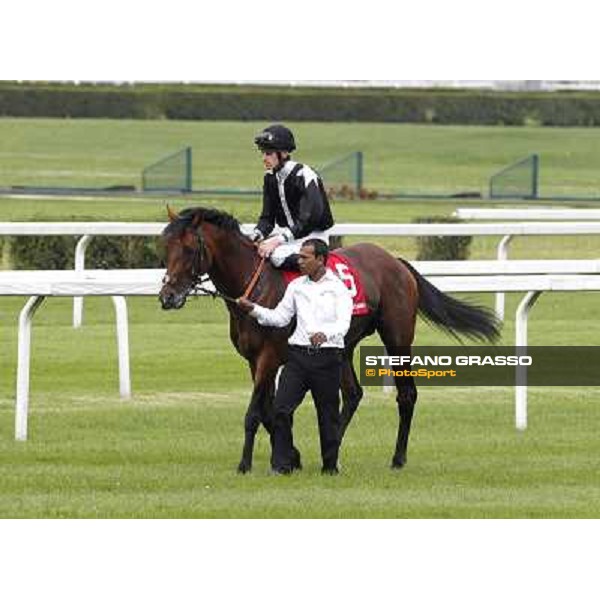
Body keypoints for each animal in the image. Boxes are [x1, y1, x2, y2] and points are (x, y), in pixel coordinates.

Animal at [157, 206, 500, 474]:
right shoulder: (253, 359)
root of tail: (397, 261)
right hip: (343, 346)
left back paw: (397, 458)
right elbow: (269, 410)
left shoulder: (269, 356)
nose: (167, 297)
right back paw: (331, 450)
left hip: (398, 338)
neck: (255, 286)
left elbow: (255, 412)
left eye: (189, 249)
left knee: (407, 395)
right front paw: (290, 457)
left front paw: (246, 464)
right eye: (165, 247)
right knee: (352, 394)